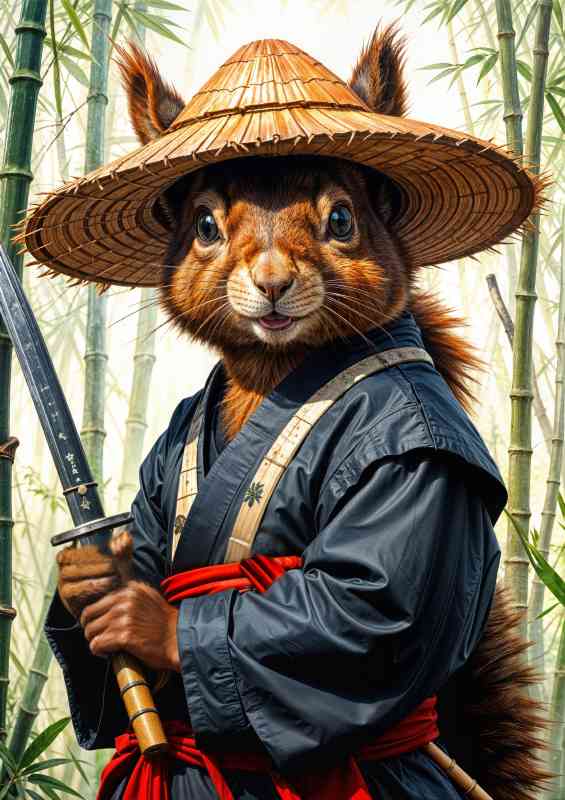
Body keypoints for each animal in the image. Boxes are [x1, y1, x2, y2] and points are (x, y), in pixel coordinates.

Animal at [56, 26, 549, 799]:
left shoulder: (418, 456)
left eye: (341, 218)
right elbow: (143, 542)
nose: (272, 283)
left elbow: (370, 609)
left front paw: (142, 620)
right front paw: (86, 576)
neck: (269, 375)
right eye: (204, 224)